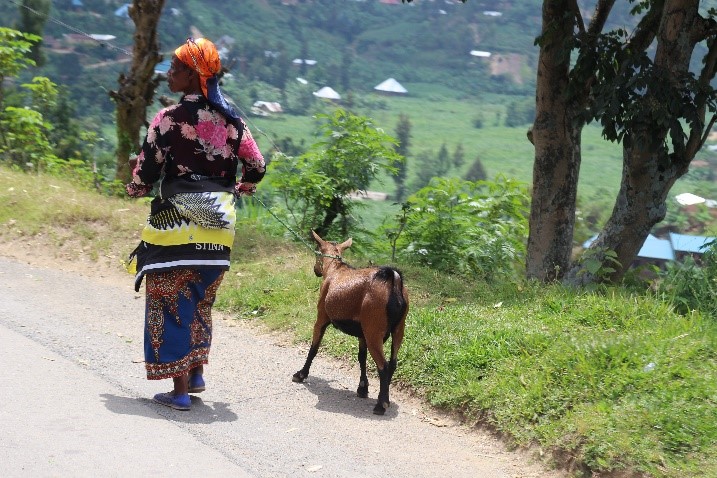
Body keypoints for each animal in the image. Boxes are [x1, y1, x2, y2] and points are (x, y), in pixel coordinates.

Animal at [292, 231, 408, 414]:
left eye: (317, 252)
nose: (316, 270)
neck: (335, 269)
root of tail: (393, 281)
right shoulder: (362, 331)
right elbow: (361, 357)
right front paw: (363, 388)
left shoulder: (322, 317)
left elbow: (314, 348)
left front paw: (301, 374)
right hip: (398, 328)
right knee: (393, 363)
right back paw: (385, 397)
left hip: (374, 330)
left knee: (383, 366)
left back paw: (381, 405)